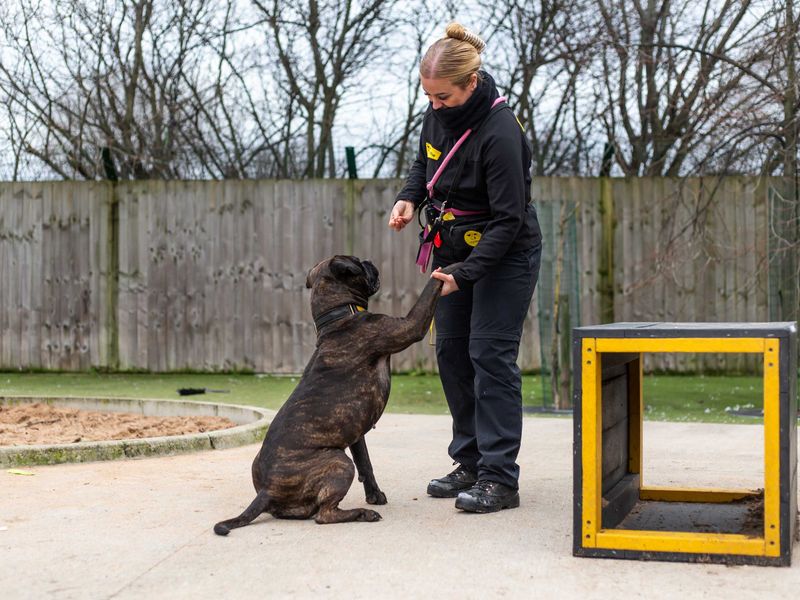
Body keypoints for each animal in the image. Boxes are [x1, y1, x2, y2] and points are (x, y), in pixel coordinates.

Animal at [216, 254, 460, 536]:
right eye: (358, 262)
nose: (369, 261)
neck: (338, 317)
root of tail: (267, 490)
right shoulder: (410, 326)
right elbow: (430, 288)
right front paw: (451, 268)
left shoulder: (356, 434)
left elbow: (366, 462)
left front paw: (374, 494)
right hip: (339, 461)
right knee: (325, 515)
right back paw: (363, 514)